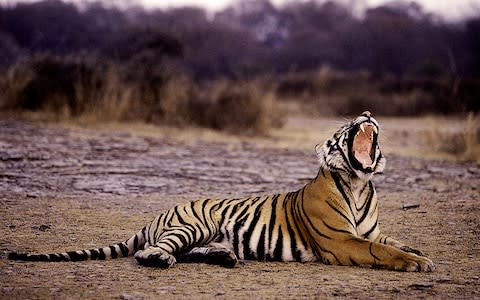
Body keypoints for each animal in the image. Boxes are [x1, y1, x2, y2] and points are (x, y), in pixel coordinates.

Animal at [7, 112, 436, 272]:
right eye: (343, 127)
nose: (366, 114)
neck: (359, 184)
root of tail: (156, 215)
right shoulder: (342, 242)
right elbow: (381, 251)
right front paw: (419, 263)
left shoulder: (371, 231)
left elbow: (393, 240)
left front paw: (419, 251)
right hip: (193, 224)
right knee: (153, 251)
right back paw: (164, 259)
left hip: (206, 233)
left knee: (192, 251)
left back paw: (224, 257)